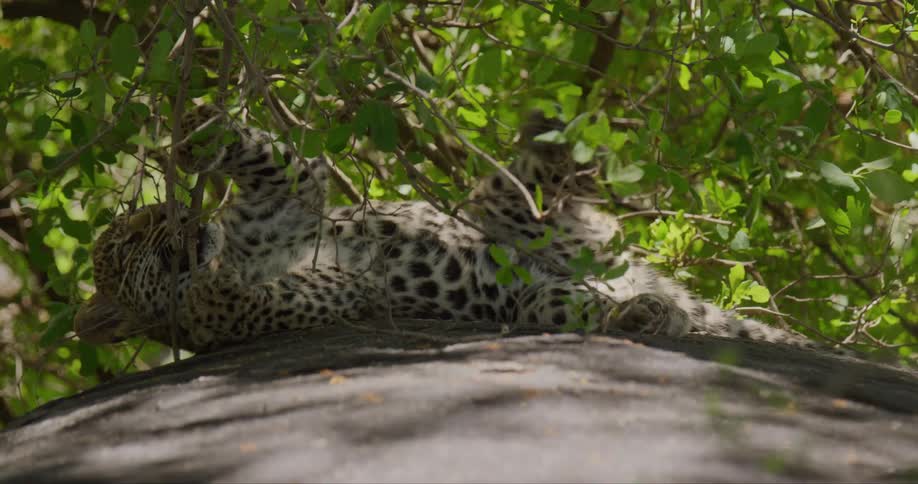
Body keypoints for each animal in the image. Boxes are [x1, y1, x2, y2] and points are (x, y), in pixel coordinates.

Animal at [74, 106, 839, 355]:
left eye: (137, 226)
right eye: (125, 245)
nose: (175, 216)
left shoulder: (291, 199)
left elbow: (278, 160)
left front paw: (195, 134)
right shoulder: (323, 290)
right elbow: (234, 306)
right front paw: (211, 297)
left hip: (525, 218)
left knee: (528, 188)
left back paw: (560, 136)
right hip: (539, 294)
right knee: (572, 300)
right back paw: (647, 315)